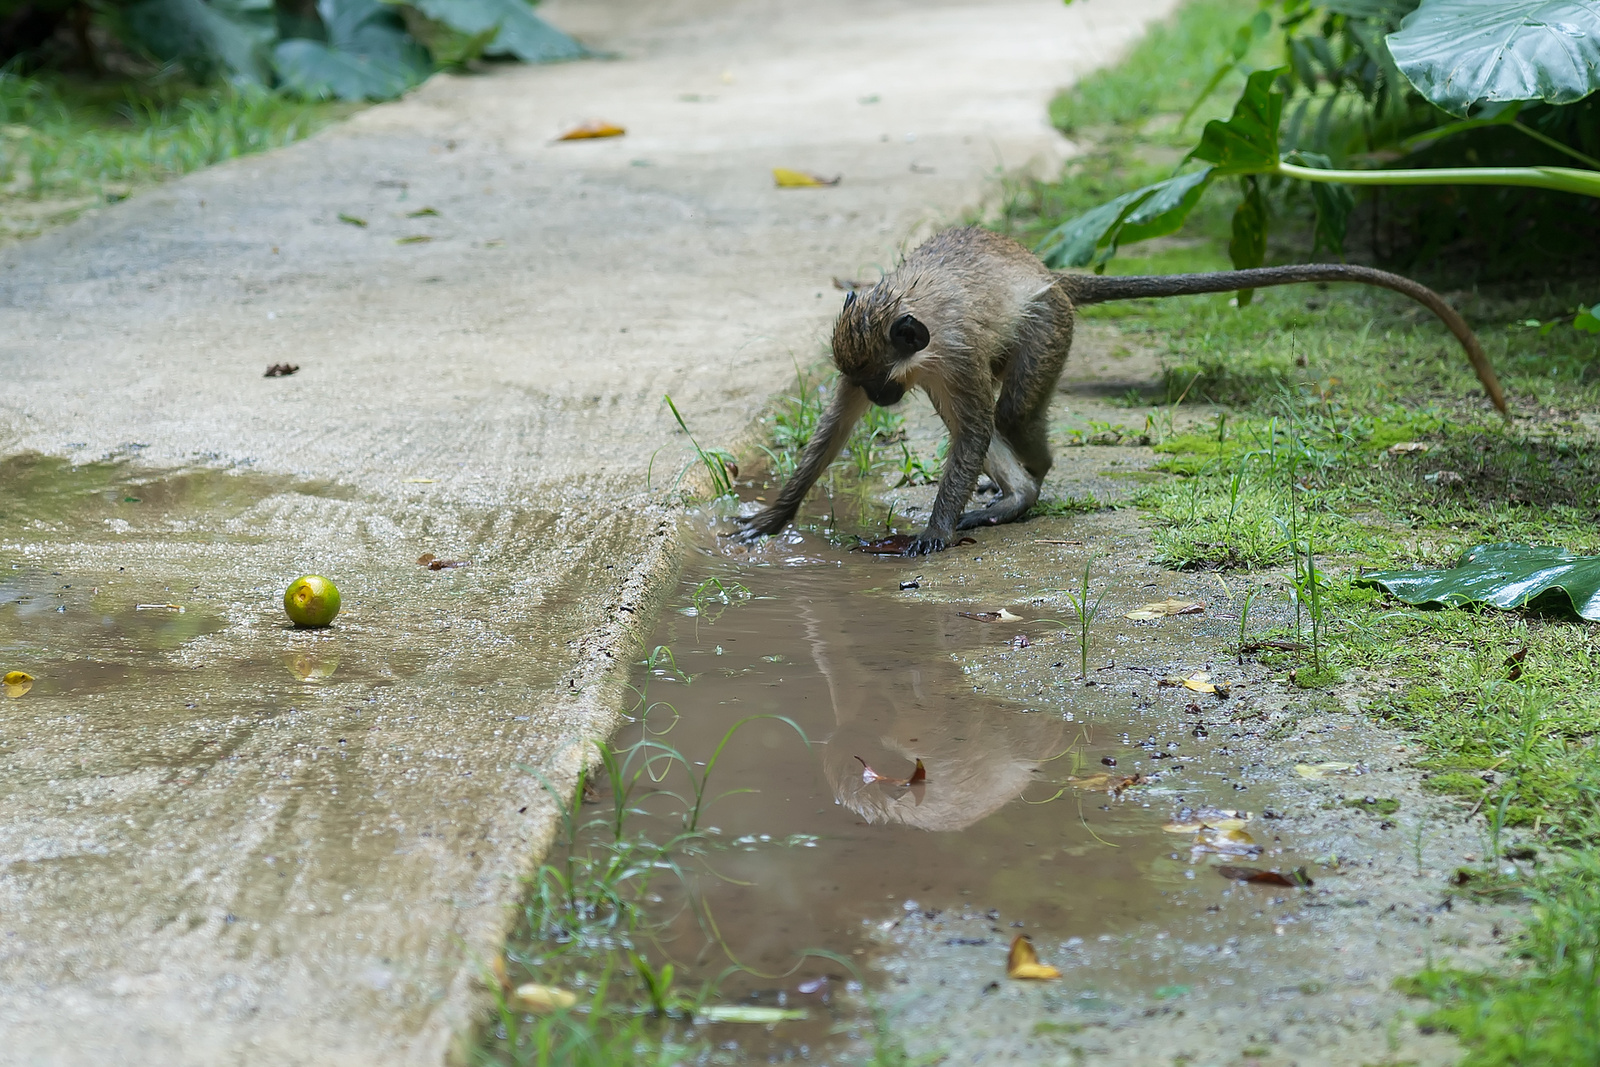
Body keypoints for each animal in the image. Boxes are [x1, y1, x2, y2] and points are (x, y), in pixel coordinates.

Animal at [736, 227, 1497, 559]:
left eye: (883, 381)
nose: (885, 400)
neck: (909, 315)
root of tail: (1050, 274)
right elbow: (835, 428)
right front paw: (774, 516)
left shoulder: (950, 353)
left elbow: (975, 426)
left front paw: (935, 530)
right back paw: (1014, 492)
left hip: (1048, 326)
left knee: (1011, 411)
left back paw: (1027, 488)